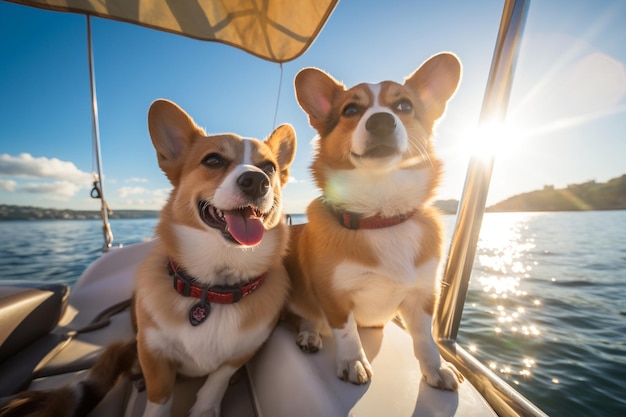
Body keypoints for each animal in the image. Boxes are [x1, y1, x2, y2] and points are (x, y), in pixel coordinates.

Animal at [134, 100, 294, 416]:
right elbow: (160, 397)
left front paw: (205, 409)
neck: (215, 288)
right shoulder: (152, 351)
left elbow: (218, 378)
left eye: (269, 167)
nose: (257, 181)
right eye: (213, 161)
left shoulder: (244, 350)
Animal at [284, 52, 464, 390]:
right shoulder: (334, 296)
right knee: (306, 317)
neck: (381, 216)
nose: (381, 120)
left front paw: (436, 367)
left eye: (404, 106)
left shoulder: (423, 295)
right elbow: (346, 332)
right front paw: (353, 361)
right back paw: (310, 335)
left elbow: (425, 338)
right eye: (350, 110)